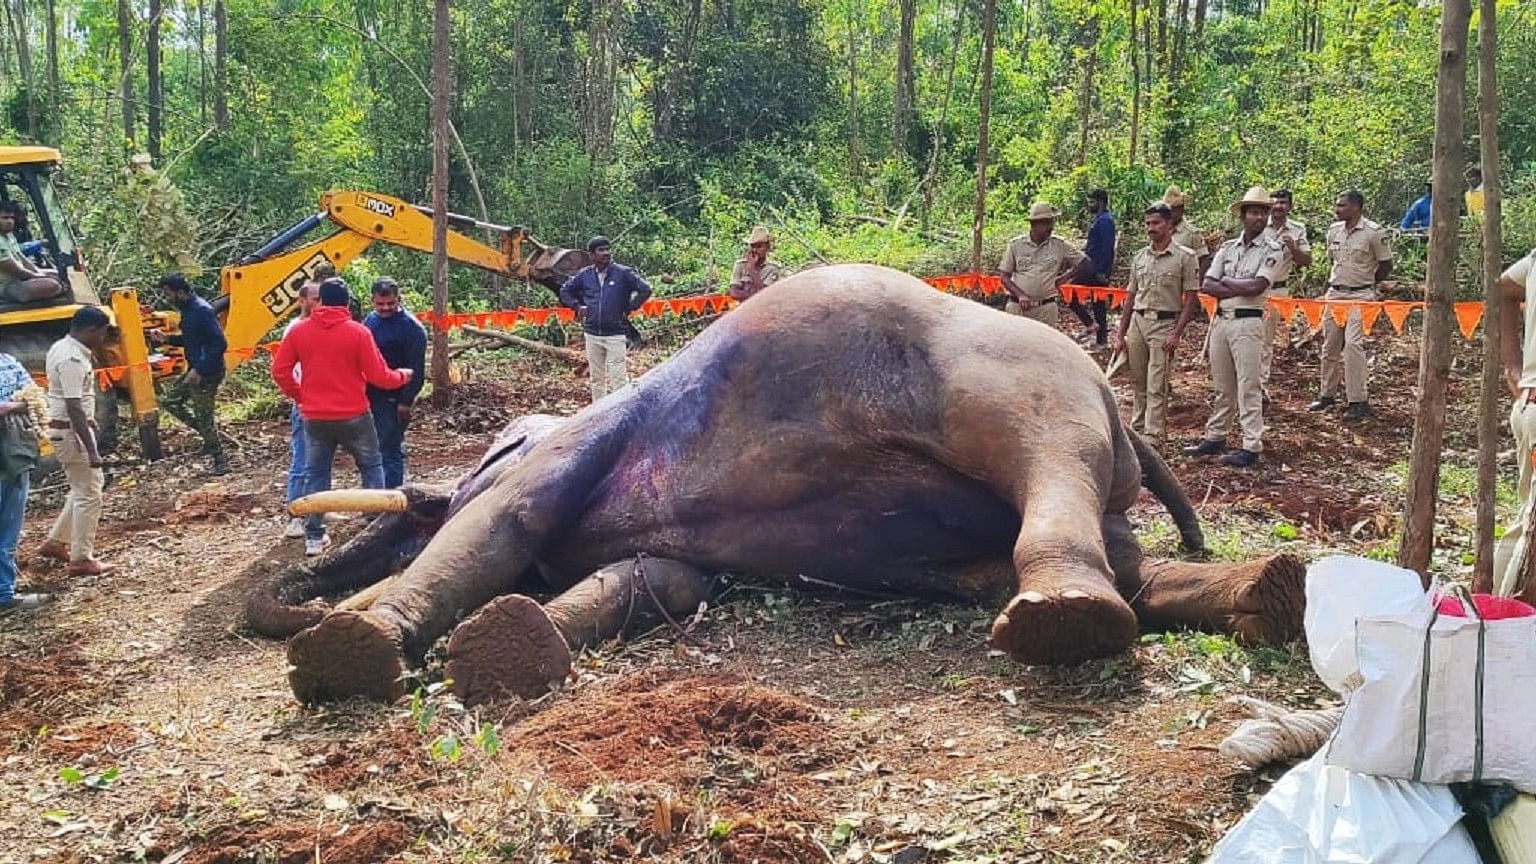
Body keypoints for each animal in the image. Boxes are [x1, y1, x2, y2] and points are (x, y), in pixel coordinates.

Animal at [254, 264, 1308, 707]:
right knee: (1130, 566)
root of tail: (1123, 413)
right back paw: (1269, 595)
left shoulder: (577, 443)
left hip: (1025, 386)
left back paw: (1062, 622)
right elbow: (663, 580)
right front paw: (512, 645)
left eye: (477, 462)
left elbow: (506, 521)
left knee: (1047, 467)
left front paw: (345, 647)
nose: (275, 603)